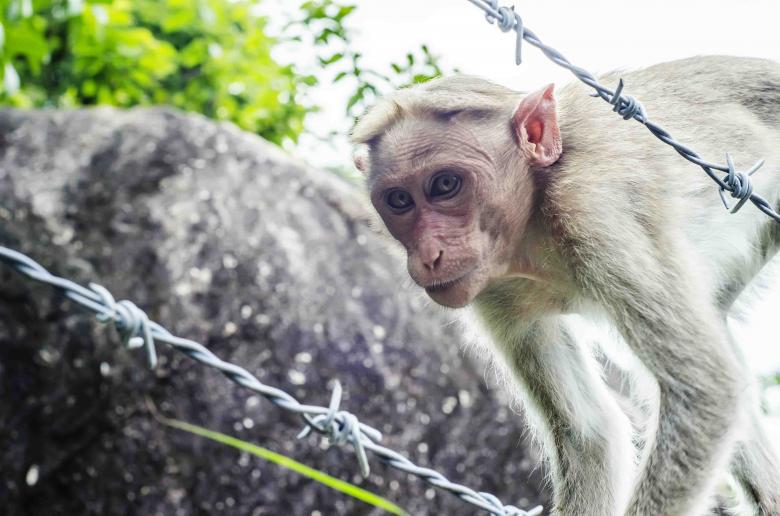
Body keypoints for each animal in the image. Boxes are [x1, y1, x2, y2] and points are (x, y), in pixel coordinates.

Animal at [350, 55, 780, 516]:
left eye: (445, 185)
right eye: (399, 200)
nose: (428, 255)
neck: (534, 220)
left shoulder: (593, 209)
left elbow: (706, 387)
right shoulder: (493, 288)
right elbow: (589, 434)